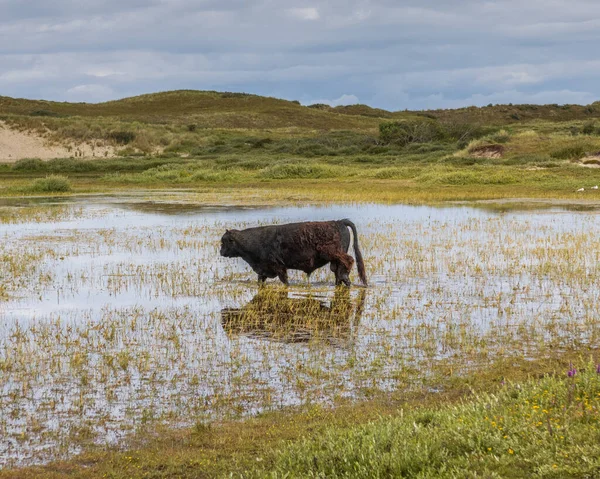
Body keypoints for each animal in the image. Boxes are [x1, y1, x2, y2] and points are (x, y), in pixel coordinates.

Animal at [220, 220, 366, 286]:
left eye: (224, 241)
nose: (221, 251)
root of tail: (338, 221)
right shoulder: (263, 270)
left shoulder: (279, 267)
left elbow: (285, 281)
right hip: (334, 259)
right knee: (337, 271)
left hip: (332, 253)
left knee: (348, 261)